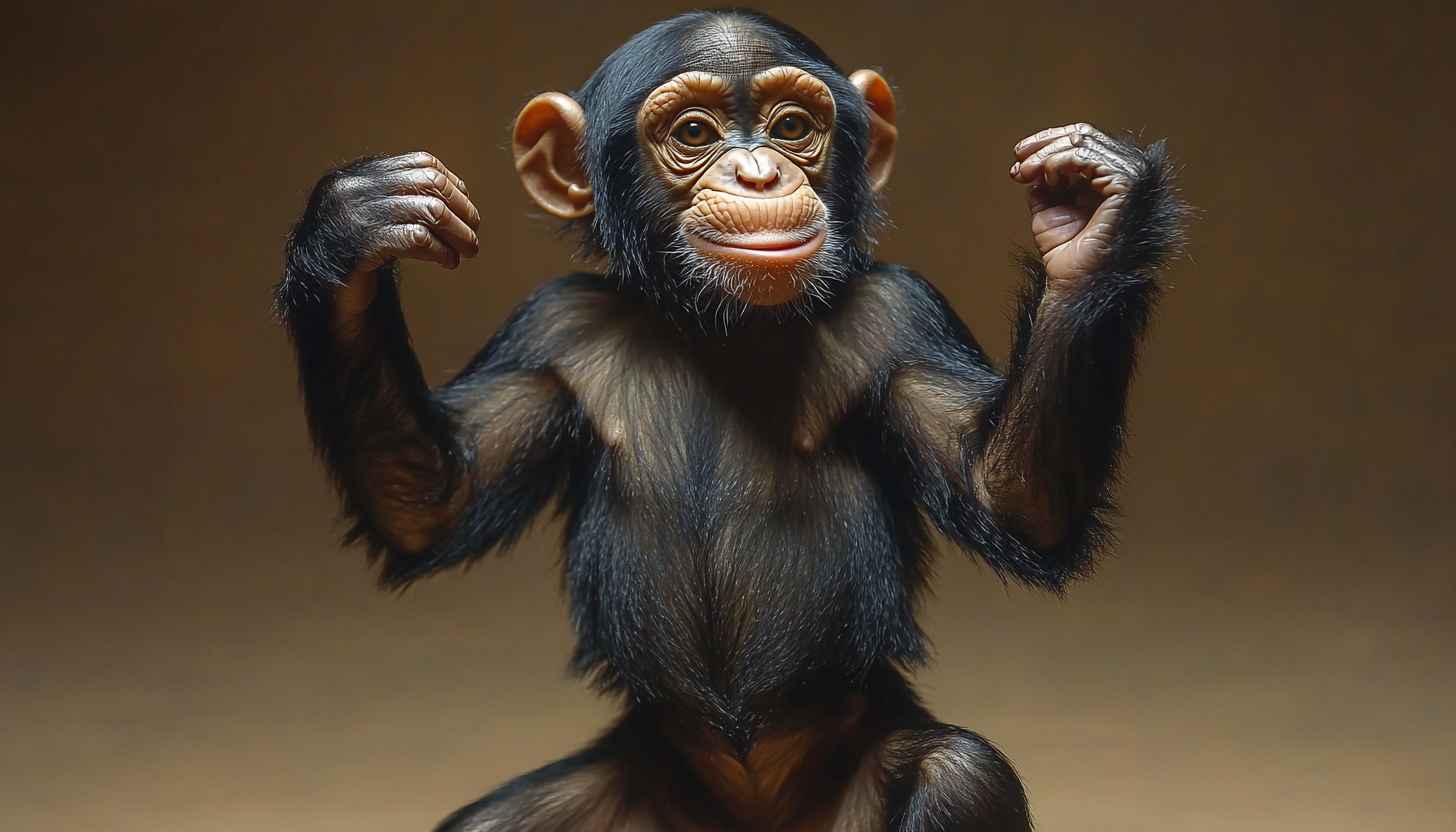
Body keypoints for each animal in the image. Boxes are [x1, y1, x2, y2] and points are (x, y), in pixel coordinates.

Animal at [274, 9, 1185, 831]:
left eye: (793, 127)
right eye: (694, 132)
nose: (757, 174)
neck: (721, 326)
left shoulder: (901, 318)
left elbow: (1012, 495)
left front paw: (1090, 225)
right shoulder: (551, 331)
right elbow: (431, 501)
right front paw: (352, 230)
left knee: (963, 777)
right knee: (492, 826)